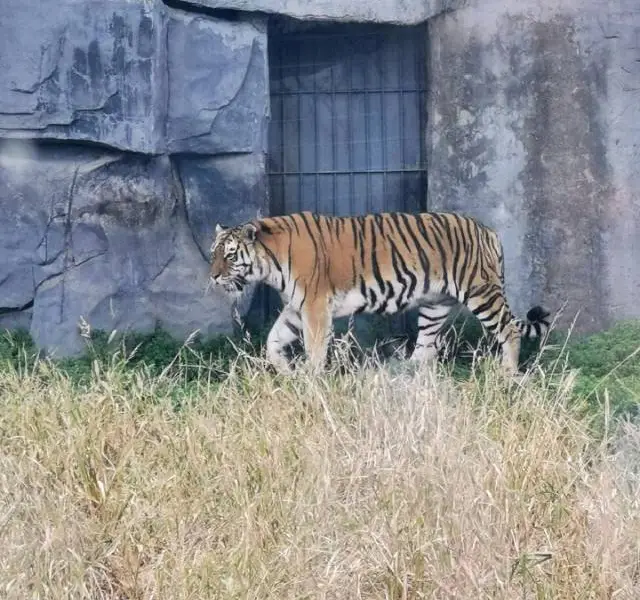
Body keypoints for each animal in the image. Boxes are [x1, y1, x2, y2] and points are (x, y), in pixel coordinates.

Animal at [210, 209, 552, 372]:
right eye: (213, 253)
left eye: (230, 256)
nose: (212, 276)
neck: (270, 263)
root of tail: (489, 231)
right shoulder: (297, 307)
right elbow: (273, 341)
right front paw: (287, 371)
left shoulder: (315, 307)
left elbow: (315, 349)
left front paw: (310, 378)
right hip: (436, 306)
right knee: (425, 350)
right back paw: (406, 375)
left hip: (481, 292)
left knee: (510, 330)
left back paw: (507, 374)